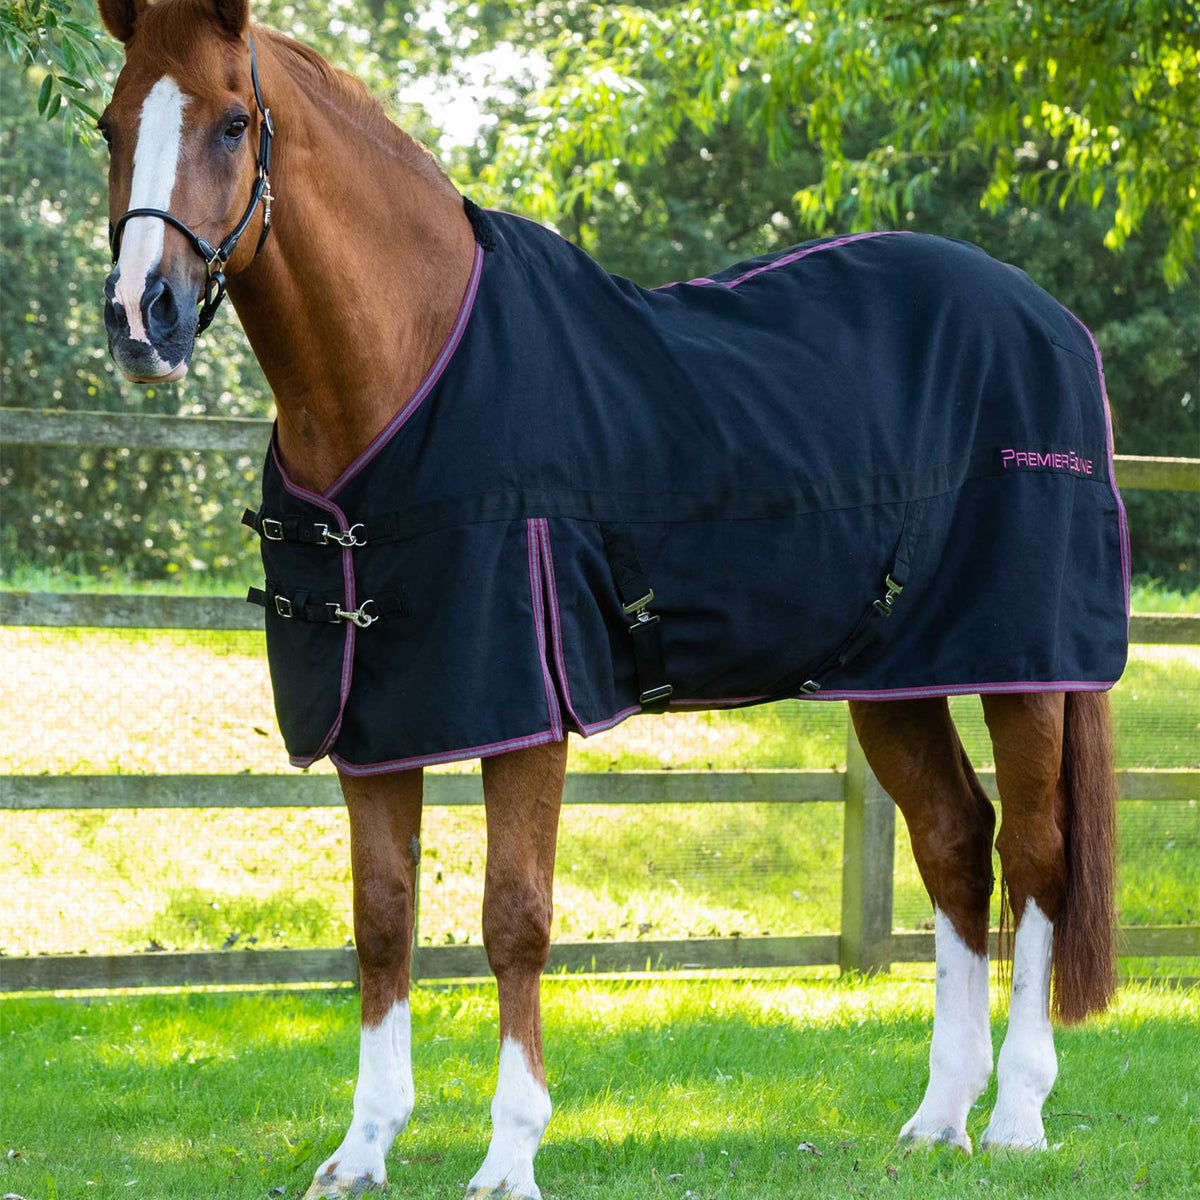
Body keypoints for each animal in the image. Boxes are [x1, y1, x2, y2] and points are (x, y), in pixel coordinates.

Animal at [95, 2, 1127, 1196]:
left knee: (1037, 857)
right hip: (897, 678)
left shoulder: (528, 709)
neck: (407, 366)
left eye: (229, 122)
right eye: (111, 123)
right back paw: (938, 1119)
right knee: (956, 843)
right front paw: (362, 1149)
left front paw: (509, 1154)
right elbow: (382, 920)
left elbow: (514, 919)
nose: (141, 318)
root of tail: (1055, 323)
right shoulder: (377, 721)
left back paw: (1016, 1117)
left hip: (1025, 668)